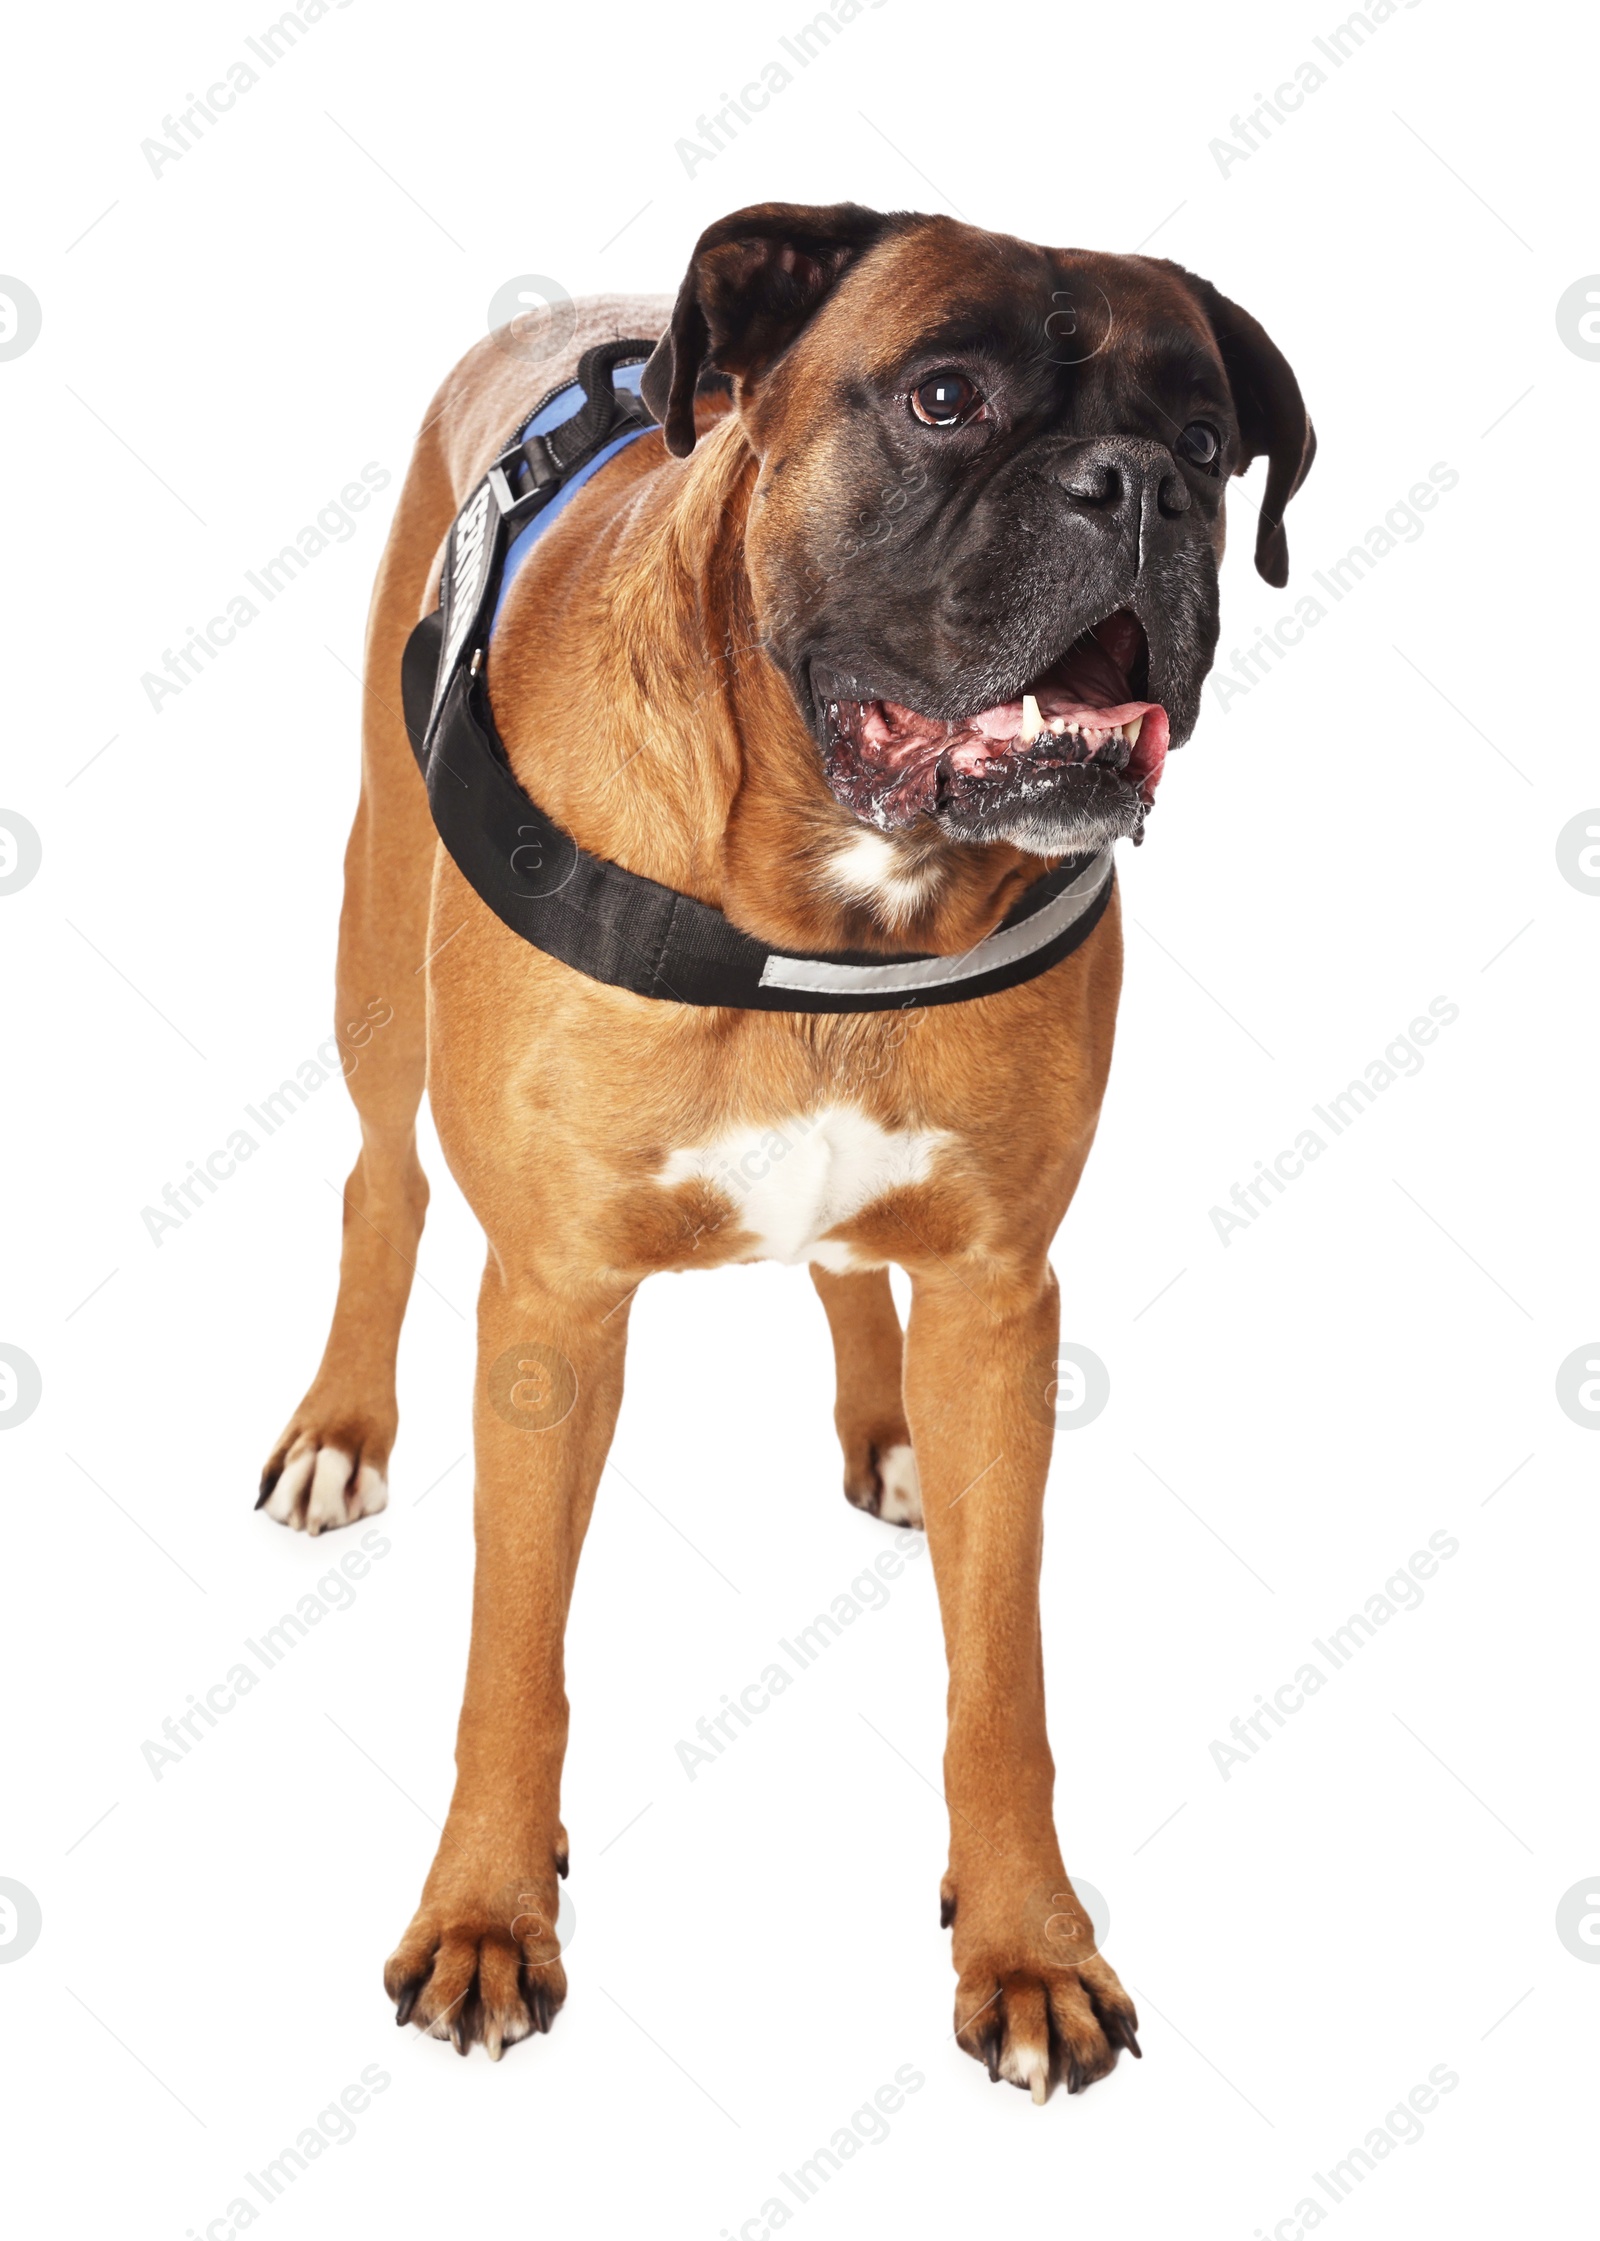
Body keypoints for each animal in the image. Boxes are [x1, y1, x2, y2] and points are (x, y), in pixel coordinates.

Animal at [258, 201, 1308, 2088]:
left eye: (1207, 440)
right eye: (946, 397)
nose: (1136, 488)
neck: (838, 889)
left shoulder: (998, 1294)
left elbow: (1003, 1676)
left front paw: (1030, 1941)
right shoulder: (551, 1306)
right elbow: (513, 1657)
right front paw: (487, 1913)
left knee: (843, 1276)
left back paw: (890, 1439)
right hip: (378, 942)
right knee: (381, 1175)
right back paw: (337, 1432)